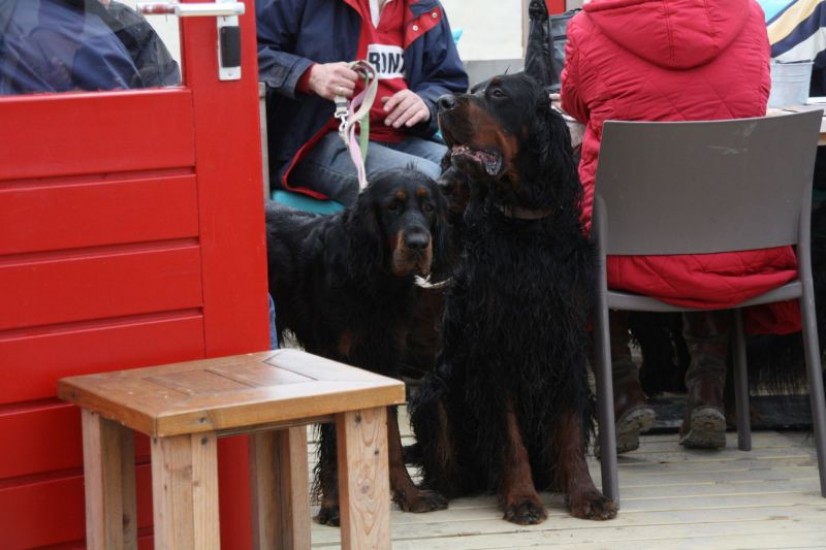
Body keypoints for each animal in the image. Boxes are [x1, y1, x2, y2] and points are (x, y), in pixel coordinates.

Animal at [265, 168, 450, 525]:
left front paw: (410, 496)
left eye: (429, 207)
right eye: (393, 206)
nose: (418, 244)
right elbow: (333, 443)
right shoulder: (334, 360)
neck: (375, 281)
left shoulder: (385, 362)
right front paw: (333, 506)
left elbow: (392, 441)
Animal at [409, 72, 618, 524]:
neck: (526, 229)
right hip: (434, 391)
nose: (443, 102)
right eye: (474, 89)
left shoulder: (566, 345)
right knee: (450, 466)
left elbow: (569, 430)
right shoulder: (495, 350)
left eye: (499, 93)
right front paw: (522, 499)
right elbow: (509, 439)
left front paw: (585, 494)